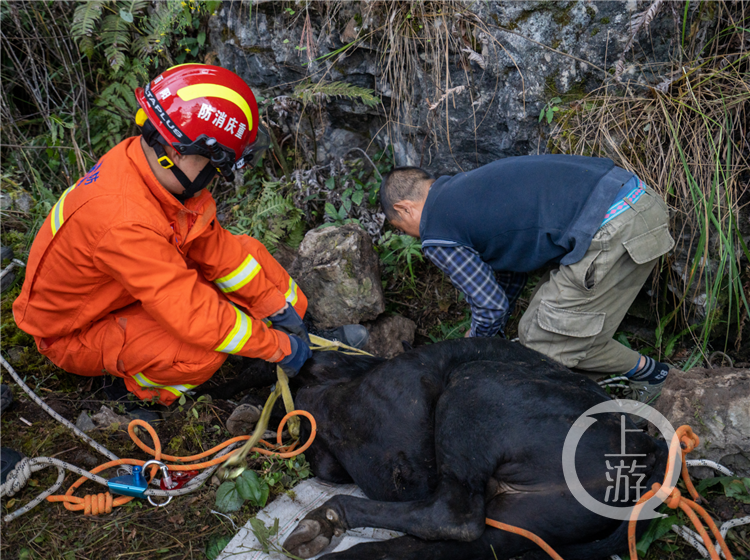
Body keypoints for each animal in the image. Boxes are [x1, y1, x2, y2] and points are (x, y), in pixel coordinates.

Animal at [282, 336, 668, 560]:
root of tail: (647, 445)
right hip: (520, 524)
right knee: (421, 545)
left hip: (475, 386)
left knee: (452, 516)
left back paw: (329, 515)